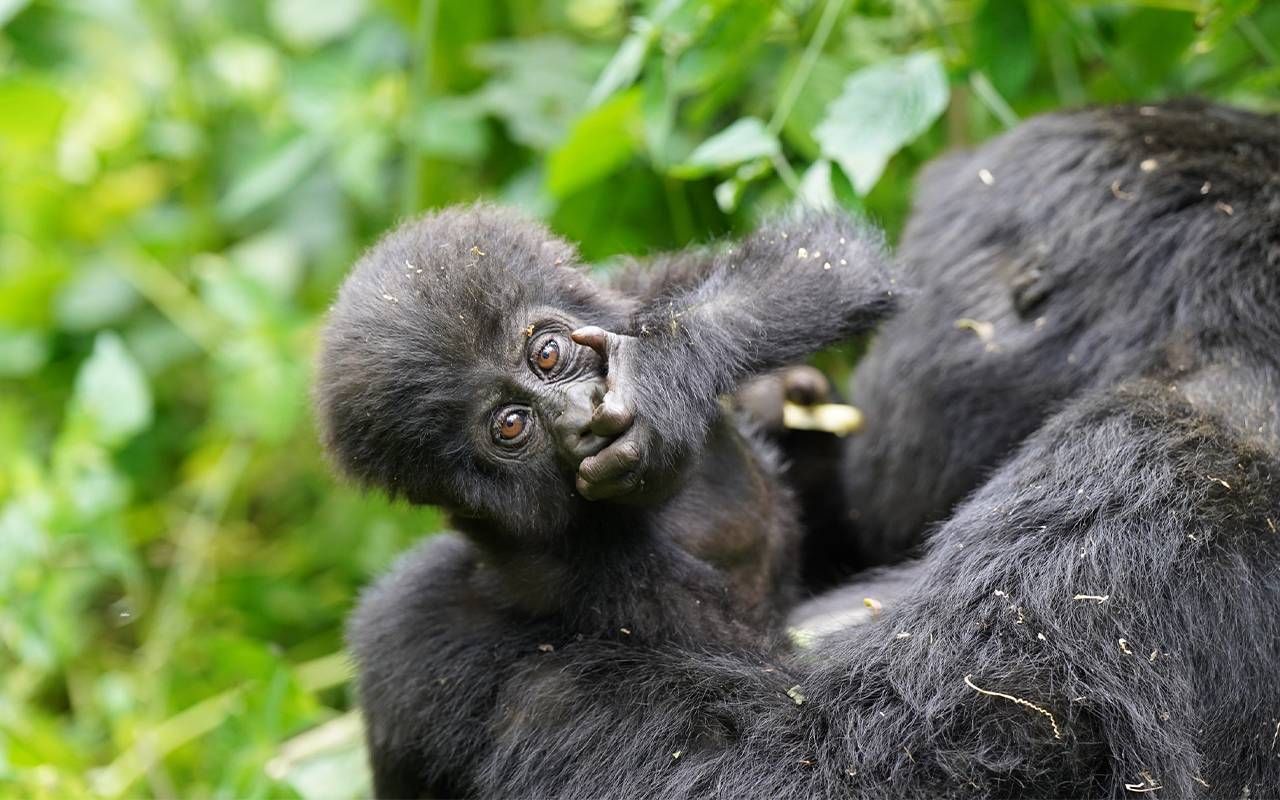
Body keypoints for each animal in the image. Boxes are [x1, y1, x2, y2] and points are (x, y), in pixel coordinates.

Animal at [314, 206, 896, 788]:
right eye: (510, 425)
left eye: (547, 354)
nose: (581, 416)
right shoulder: (564, 569)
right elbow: (779, 693)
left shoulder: (631, 293)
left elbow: (824, 261)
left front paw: (661, 377)